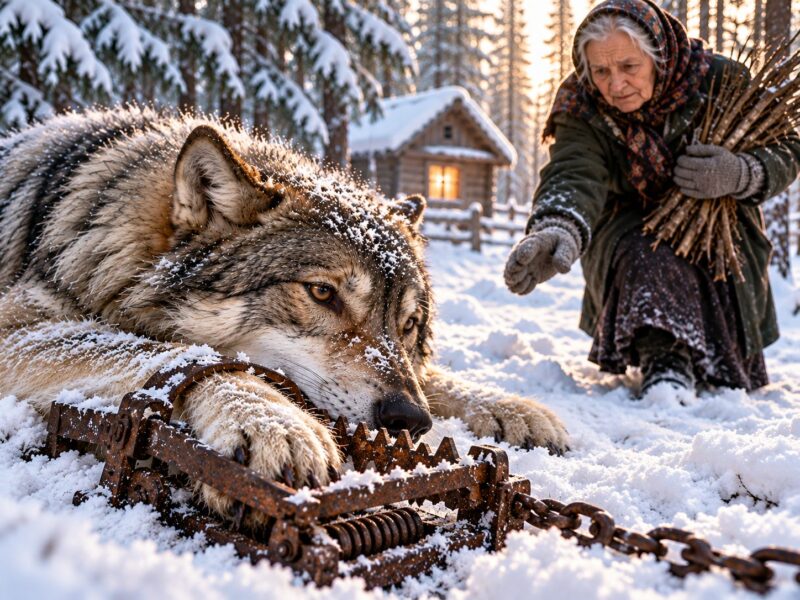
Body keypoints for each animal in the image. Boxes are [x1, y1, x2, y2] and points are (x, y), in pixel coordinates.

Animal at [0, 106, 568, 519]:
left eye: (407, 325)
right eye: (321, 293)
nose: (408, 420)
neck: (104, 244)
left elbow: (435, 381)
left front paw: (514, 409)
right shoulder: (15, 327)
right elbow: (172, 351)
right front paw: (271, 417)